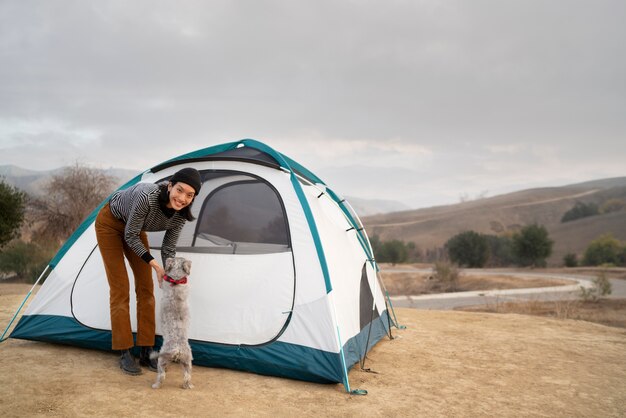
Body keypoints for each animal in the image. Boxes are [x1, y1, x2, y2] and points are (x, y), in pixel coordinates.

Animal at [151, 256, 193, 390]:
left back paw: (155, 385)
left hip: (162, 361)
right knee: (187, 376)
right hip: (187, 362)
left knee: (162, 375)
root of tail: (177, 349)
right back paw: (187, 386)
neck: (176, 280)